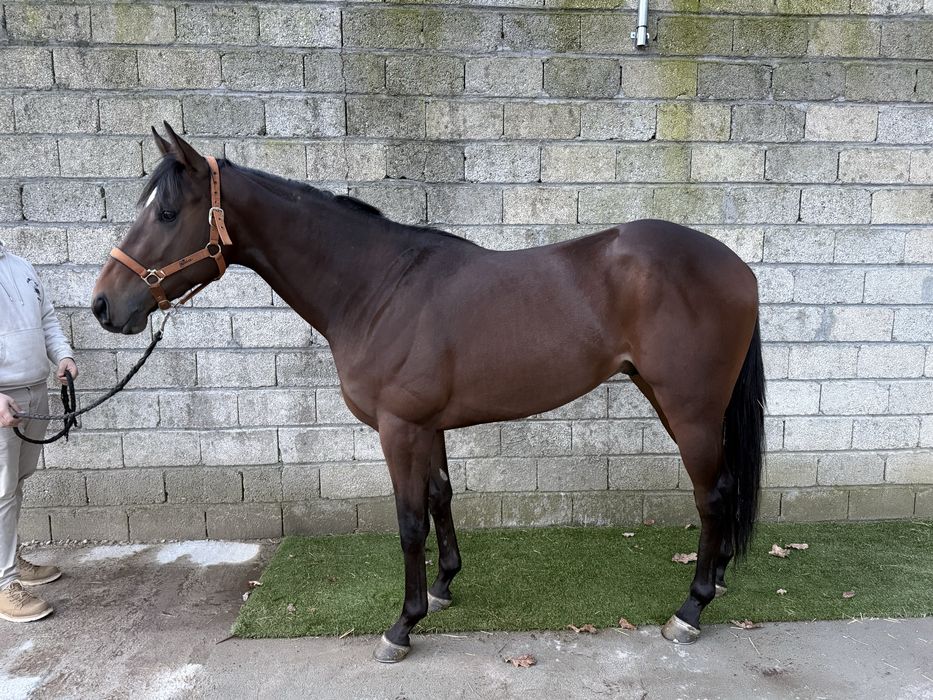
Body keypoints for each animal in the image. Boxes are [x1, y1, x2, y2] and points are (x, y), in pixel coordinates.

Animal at [92, 124, 765, 663]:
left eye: (167, 214)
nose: (102, 306)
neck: (377, 288)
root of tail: (738, 267)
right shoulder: (430, 425)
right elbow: (441, 496)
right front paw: (442, 589)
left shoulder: (399, 428)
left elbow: (410, 521)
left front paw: (401, 626)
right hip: (673, 401)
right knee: (724, 486)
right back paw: (720, 579)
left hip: (689, 407)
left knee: (711, 493)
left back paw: (690, 609)